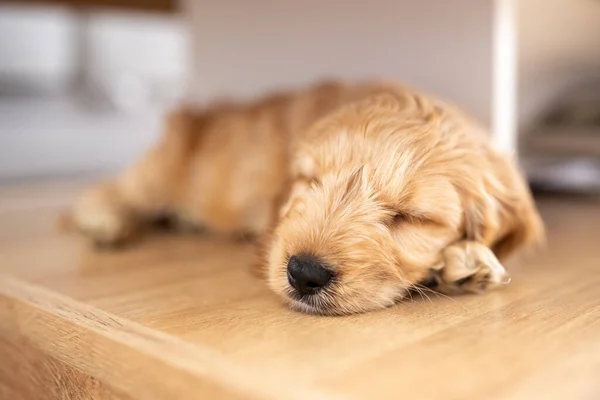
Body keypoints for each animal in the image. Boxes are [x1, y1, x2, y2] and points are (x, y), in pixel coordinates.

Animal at [70, 81, 544, 316]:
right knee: (111, 191)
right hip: (167, 163)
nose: (303, 273)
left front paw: (464, 261)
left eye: (411, 217)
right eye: (310, 181)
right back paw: (106, 220)